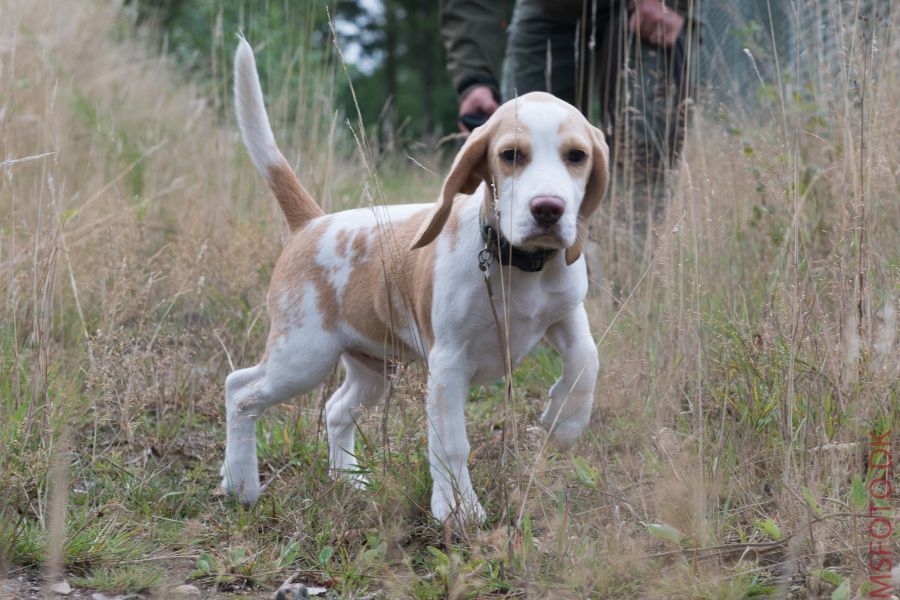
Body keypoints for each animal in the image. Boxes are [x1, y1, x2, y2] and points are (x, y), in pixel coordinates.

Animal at [221, 38, 608, 524]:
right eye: (511, 156)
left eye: (577, 156)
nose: (549, 209)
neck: (519, 266)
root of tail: (313, 222)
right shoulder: (448, 364)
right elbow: (452, 443)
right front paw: (459, 512)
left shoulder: (565, 314)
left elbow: (586, 360)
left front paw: (565, 423)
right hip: (303, 357)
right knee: (240, 390)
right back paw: (240, 484)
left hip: (372, 368)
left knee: (335, 410)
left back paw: (348, 481)